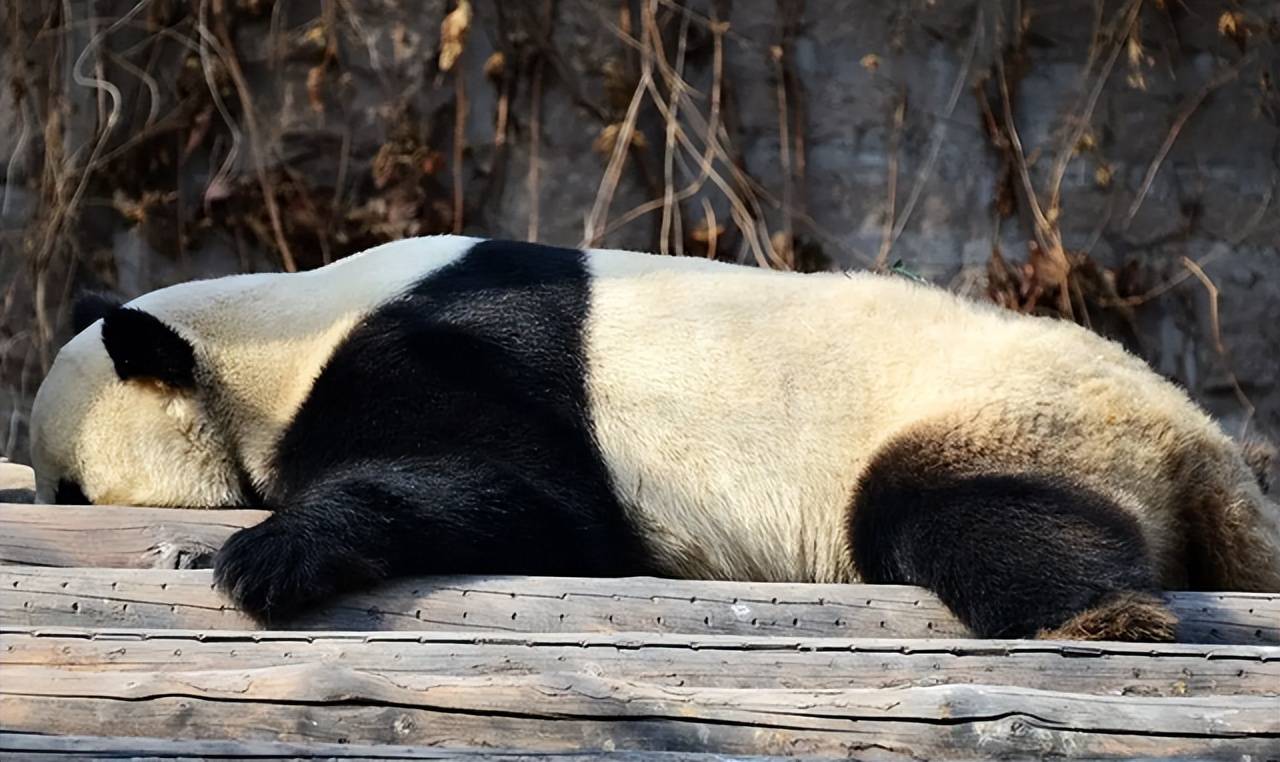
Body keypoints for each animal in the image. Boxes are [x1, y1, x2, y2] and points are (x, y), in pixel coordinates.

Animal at [27, 235, 1280, 640]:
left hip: (1007, 413)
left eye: (72, 489)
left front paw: (263, 554)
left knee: (952, 510)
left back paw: (1095, 614)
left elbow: (530, 501)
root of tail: (1203, 449)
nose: (51, 507)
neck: (272, 336)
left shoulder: (452, 351)